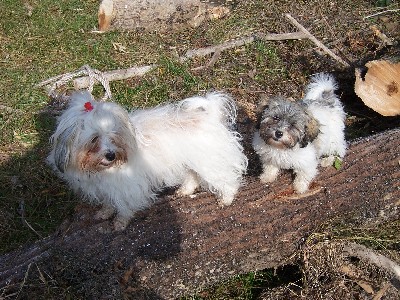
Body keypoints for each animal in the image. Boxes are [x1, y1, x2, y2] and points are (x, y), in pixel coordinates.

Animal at [47, 91, 247, 230]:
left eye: (114, 135)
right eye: (94, 138)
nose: (111, 155)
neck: (101, 169)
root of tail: (210, 117)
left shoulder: (127, 188)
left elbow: (124, 206)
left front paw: (120, 222)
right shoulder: (104, 187)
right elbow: (108, 203)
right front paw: (105, 212)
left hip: (210, 162)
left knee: (227, 180)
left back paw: (226, 199)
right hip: (189, 162)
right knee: (193, 176)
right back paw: (185, 190)